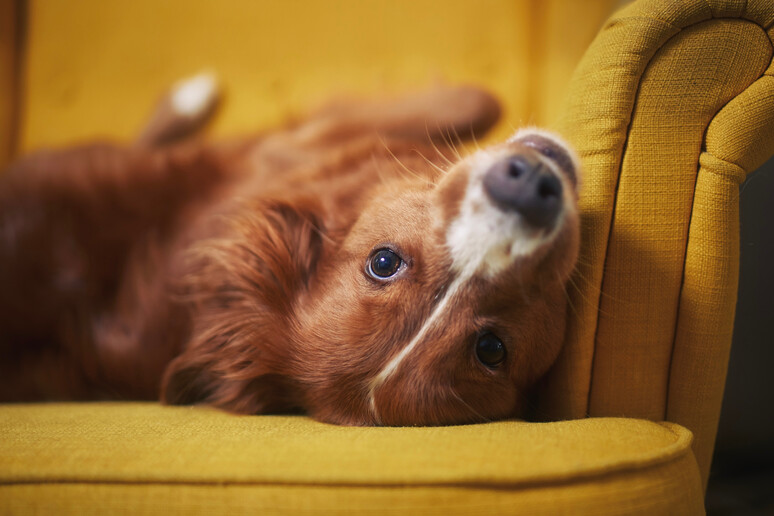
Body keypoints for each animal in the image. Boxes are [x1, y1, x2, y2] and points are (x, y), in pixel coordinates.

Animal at [0, 74, 584, 426]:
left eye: (491, 348)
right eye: (384, 262)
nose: (528, 190)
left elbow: (481, 98)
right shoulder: (308, 137)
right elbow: (473, 98)